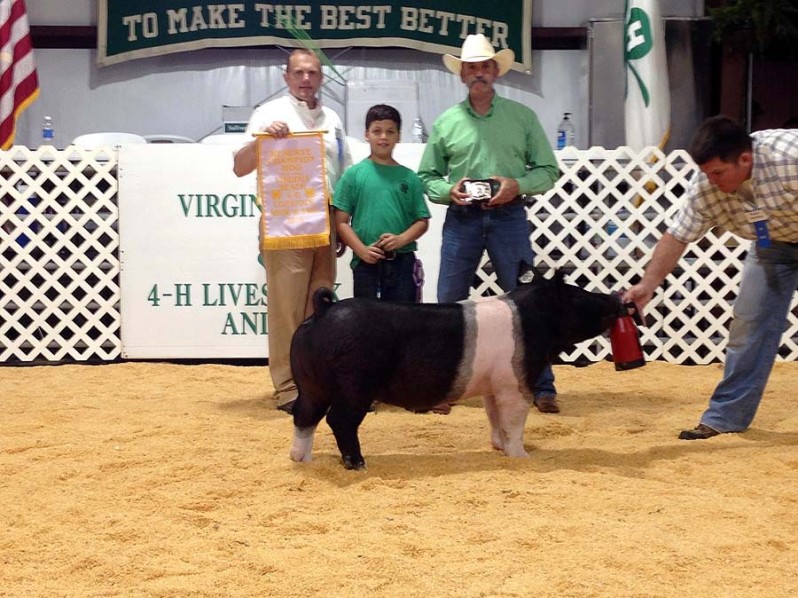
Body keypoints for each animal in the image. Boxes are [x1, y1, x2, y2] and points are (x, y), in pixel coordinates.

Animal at [290, 264, 624, 472]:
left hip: (310, 385)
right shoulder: (515, 384)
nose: (617, 299)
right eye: (579, 295)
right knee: (339, 421)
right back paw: (359, 465)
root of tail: (323, 311)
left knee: (304, 417)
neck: (532, 320)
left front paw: (500, 449)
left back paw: (301, 460)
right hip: (354, 385)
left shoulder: (492, 387)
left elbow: (495, 419)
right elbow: (514, 422)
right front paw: (522, 456)